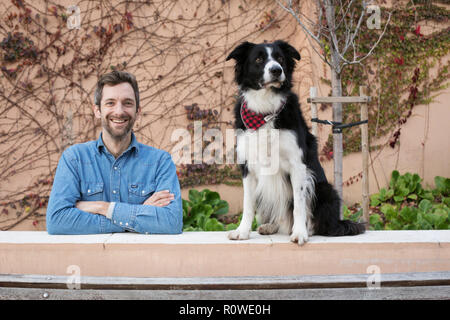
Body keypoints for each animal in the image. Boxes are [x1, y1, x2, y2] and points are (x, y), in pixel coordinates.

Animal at [227, 40, 364, 245]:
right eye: (258, 59)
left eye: (280, 58)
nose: (276, 70)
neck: (265, 109)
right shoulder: (247, 166)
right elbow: (248, 204)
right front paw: (242, 231)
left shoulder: (297, 165)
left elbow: (299, 204)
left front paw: (300, 232)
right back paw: (271, 226)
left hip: (325, 189)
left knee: (317, 221)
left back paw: (308, 229)